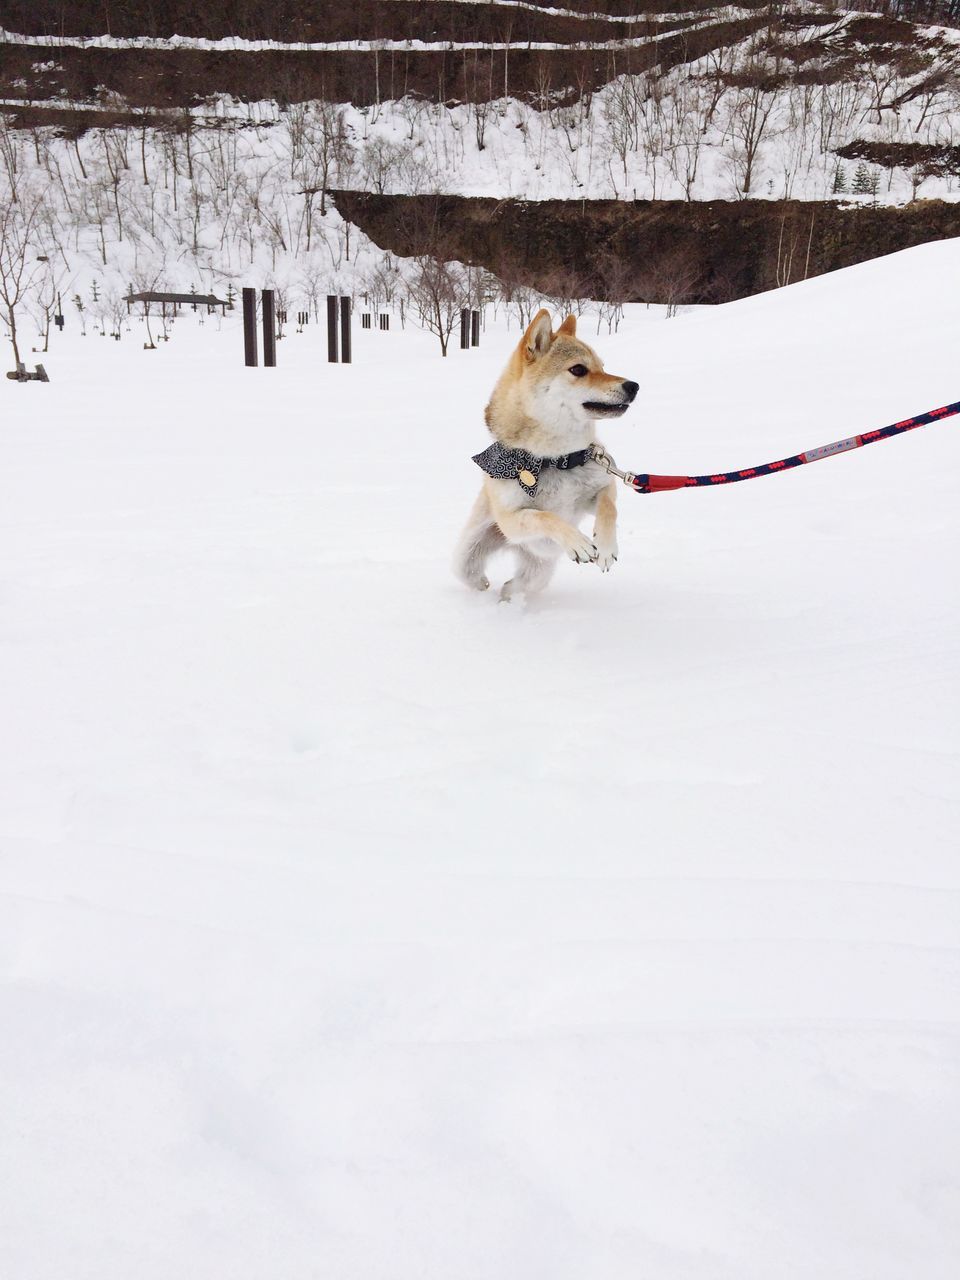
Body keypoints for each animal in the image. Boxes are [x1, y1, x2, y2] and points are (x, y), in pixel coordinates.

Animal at [453, 308, 640, 599]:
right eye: (578, 369)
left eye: (602, 366)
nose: (633, 386)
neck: (554, 459)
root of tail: (515, 547)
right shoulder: (511, 519)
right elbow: (545, 516)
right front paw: (578, 543)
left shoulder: (601, 486)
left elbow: (609, 508)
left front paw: (606, 547)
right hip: (469, 554)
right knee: (473, 576)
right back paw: (486, 589)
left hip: (538, 572)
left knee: (516, 585)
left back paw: (508, 597)